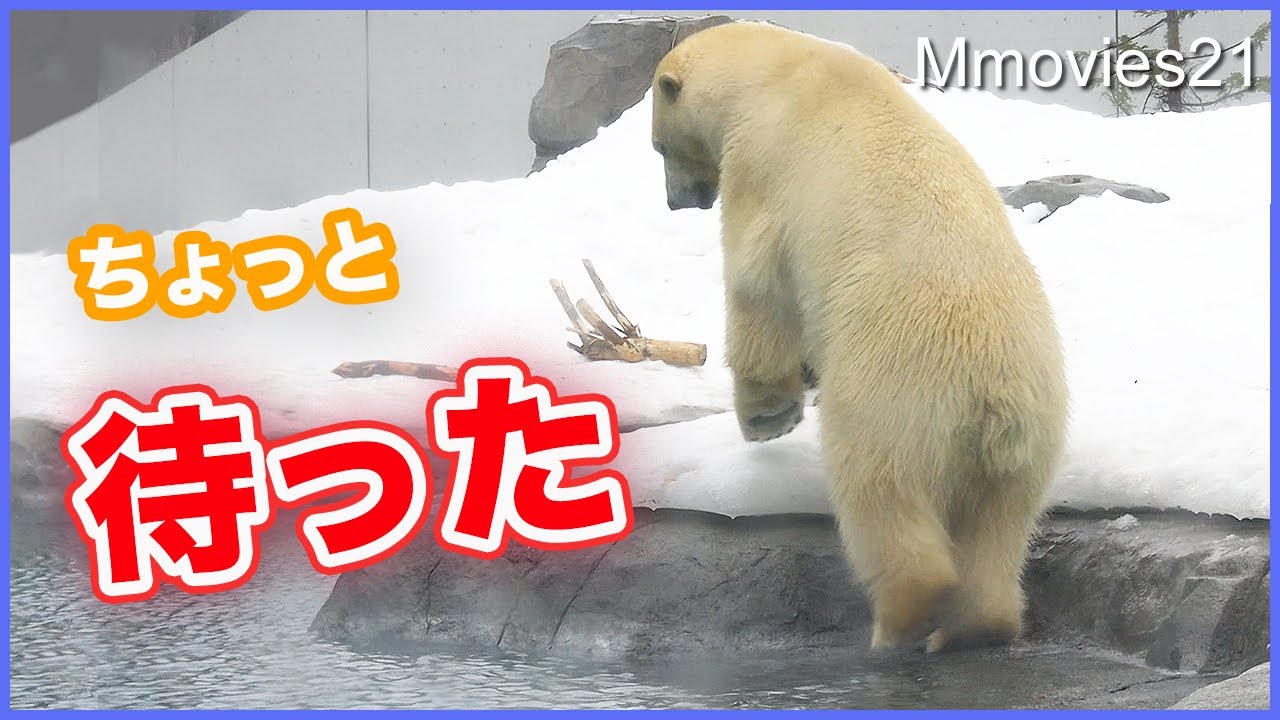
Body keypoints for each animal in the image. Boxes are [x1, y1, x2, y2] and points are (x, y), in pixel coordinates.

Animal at [650, 21, 1068, 653]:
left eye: (659, 146)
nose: (678, 200)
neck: (779, 70)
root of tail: (991, 395)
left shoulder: (760, 165)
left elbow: (756, 284)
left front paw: (767, 417)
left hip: (896, 399)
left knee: (878, 493)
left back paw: (898, 622)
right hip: (1028, 437)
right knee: (998, 525)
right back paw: (976, 627)